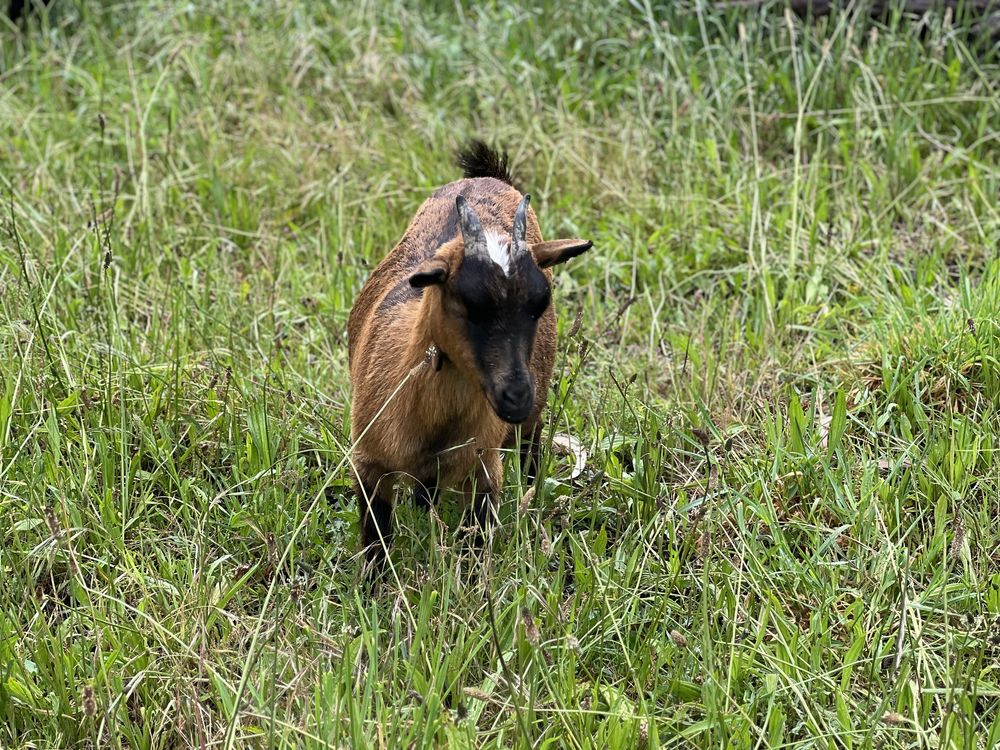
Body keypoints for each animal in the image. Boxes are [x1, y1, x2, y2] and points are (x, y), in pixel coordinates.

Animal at [348, 142, 588, 568]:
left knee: (530, 451)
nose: (516, 396)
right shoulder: (368, 464)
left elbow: (475, 552)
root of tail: (488, 178)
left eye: (540, 303)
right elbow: (376, 545)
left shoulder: (484, 471)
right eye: (467, 303)